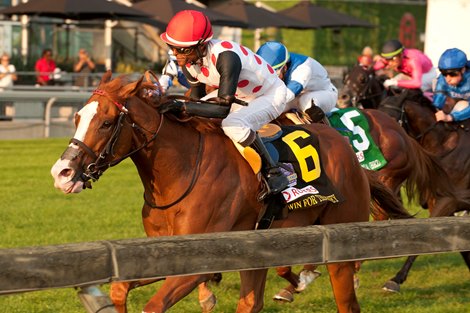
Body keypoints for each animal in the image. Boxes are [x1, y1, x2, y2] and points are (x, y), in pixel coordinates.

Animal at [49, 71, 414, 312]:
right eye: (78, 117)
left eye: (107, 122)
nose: (62, 173)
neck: (181, 171)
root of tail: (349, 152)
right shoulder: (162, 255)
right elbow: (120, 288)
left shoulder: (199, 261)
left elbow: (153, 306)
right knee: (252, 302)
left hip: (341, 242)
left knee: (346, 295)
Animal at [336, 64, 468, 292]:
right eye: (345, 78)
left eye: (363, 79)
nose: (343, 98)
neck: (443, 145)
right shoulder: (436, 201)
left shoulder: (449, 200)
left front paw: (395, 279)